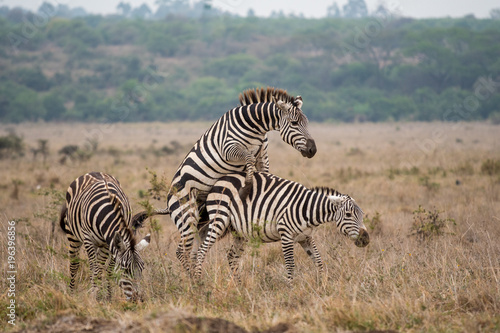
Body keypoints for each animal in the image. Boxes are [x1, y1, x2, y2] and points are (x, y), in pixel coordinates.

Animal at [59, 171, 150, 300]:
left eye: (142, 268)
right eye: (125, 270)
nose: (139, 299)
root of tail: (93, 172)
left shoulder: (109, 243)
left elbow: (108, 271)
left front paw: (108, 297)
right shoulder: (89, 240)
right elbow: (95, 269)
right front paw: (94, 295)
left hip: (100, 244)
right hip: (73, 236)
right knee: (75, 264)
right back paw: (72, 293)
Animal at [167, 85, 316, 272]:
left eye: (307, 123)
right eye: (294, 123)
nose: (312, 150)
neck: (255, 126)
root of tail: (169, 195)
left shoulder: (262, 154)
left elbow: (264, 171)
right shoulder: (228, 148)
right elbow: (248, 159)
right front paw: (248, 186)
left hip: (203, 218)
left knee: (193, 251)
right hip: (187, 214)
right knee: (182, 251)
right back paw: (191, 279)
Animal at [193, 171, 370, 282]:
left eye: (362, 215)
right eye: (348, 215)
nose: (366, 239)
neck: (308, 209)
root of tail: (219, 180)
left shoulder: (306, 237)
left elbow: (318, 261)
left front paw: (322, 284)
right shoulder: (286, 235)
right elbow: (290, 265)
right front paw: (290, 289)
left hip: (239, 231)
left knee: (231, 256)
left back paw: (238, 285)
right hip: (220, 219)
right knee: (201, 251)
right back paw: (198, 283)